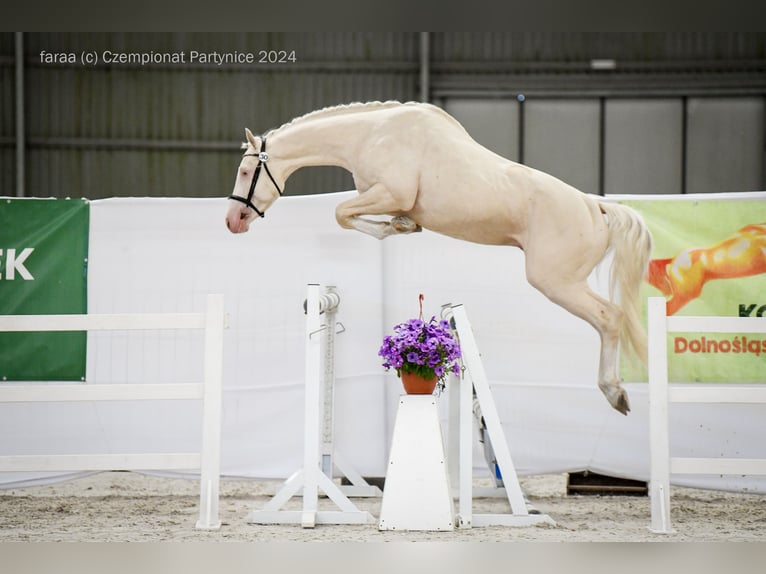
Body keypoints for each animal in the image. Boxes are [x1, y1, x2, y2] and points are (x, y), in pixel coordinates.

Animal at [224, 101, 653, 415]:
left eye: (245, 171)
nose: (232, 221)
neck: (371, 135)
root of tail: (594, 206)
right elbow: (352, 215)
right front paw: (404, 225)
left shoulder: (389, 192)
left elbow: (342, 213)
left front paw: (398, 226)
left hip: (556, 281)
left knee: (610, 318)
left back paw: (615, 392)